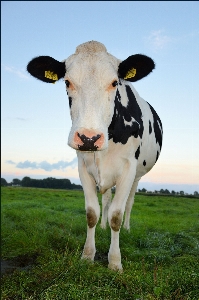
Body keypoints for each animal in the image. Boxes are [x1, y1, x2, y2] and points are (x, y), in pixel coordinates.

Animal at [26, 40, 163, 272]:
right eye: (67, 82)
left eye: (114, 82)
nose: (89, 138)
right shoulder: (83, 166)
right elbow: (92, 213)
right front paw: (87, 256)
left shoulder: (128, 168)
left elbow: (117, 214)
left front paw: (115, 262)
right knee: (106, 199)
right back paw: (103, 227)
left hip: (137, 176)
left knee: (129, 203)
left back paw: (127, 228)